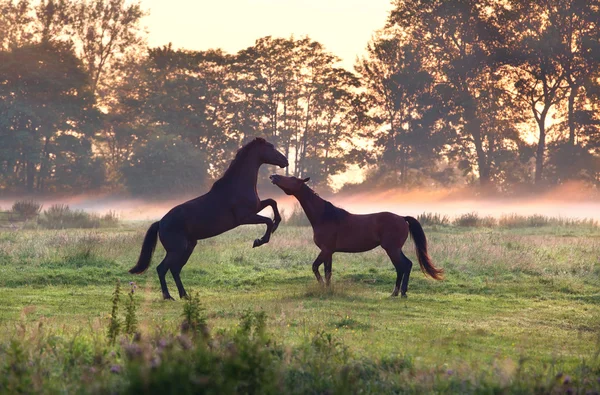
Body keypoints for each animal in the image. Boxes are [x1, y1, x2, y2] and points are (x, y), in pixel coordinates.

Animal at [130, 138, 290, 300]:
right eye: (270, 147)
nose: (286, 161)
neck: (237, 187)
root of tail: (161, 223)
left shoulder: (256, 208)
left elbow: (272, 202)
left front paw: (276, 224)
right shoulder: (245, 217)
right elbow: (268, 220)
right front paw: (259, 241)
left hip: (188, 247)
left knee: (175, 269)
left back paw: (184, 295)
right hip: (177, 249)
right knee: (162, 268)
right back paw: (168, 296)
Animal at [270, 175, 442, 298]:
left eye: (292, 178)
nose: (273, 176)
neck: (325, 217)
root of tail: (402, 218)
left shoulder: (325, 250)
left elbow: (315, 267)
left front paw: (322, 286)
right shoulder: (329, 252)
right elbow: (328, 271)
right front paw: (328, 289)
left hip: (392, 249)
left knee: (403, 266)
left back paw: (400, 293)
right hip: (394, 249)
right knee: (404, 266)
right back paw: (397, 293)